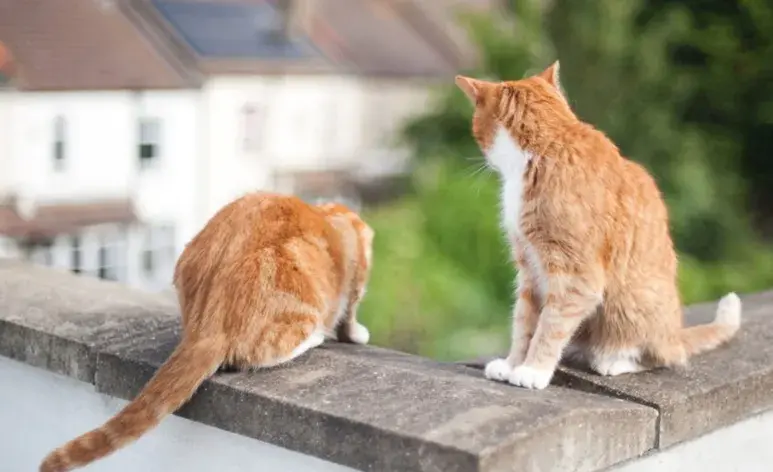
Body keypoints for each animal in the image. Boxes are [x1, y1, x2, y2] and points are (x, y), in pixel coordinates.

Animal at [40, 193, 376, 472]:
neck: (329, 214)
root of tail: (205, 325)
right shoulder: (355, 271)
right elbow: (351, 311)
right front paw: (354, 333)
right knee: (259, 353)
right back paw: (314, 338)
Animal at [456, 60, 740, 390]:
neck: (545, 147)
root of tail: (675, 333)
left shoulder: (576, 279)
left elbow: (549, 327)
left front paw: (534, 370)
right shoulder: (529, 270)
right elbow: (524, 324)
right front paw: (514, 363)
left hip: (629, 307)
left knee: (663, 356)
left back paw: (614, 361)